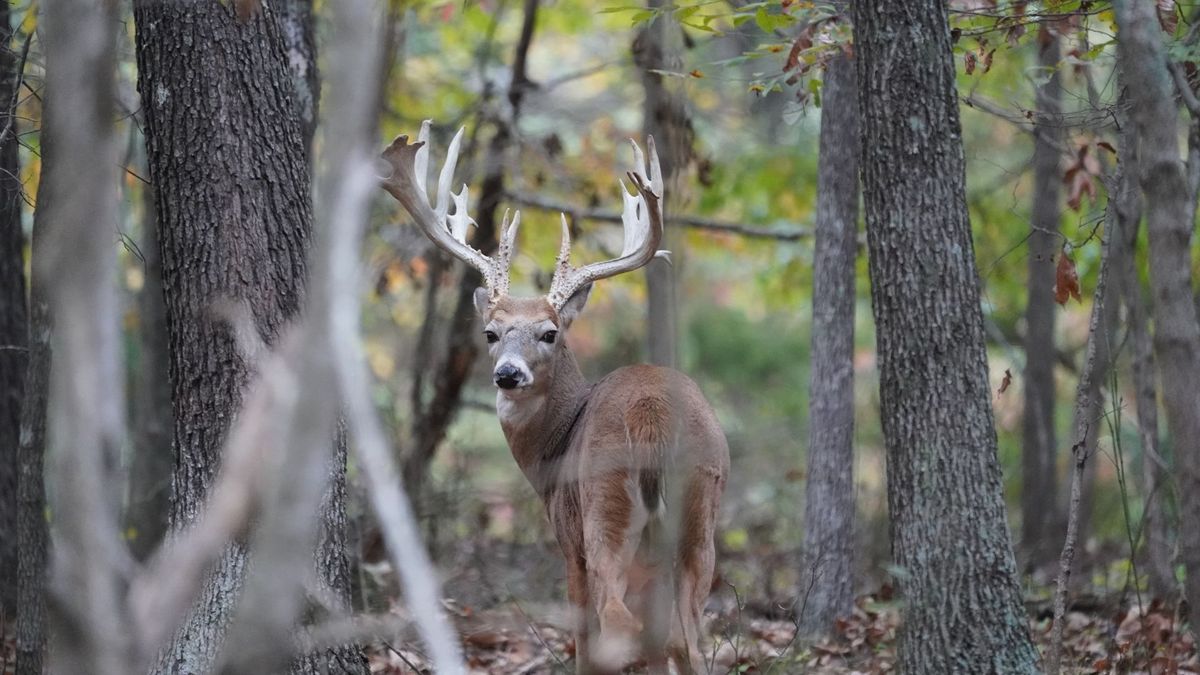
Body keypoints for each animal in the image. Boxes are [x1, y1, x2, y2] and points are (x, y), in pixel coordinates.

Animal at [380, 121, 729, 674]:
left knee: (618, 622)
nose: (507, 374)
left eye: (550, 333)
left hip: (604, 510)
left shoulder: (569, 541)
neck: (551, 448)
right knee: (687, 638)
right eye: (490, 332)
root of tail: (652, 417)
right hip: (701, 512)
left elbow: (585, 636)